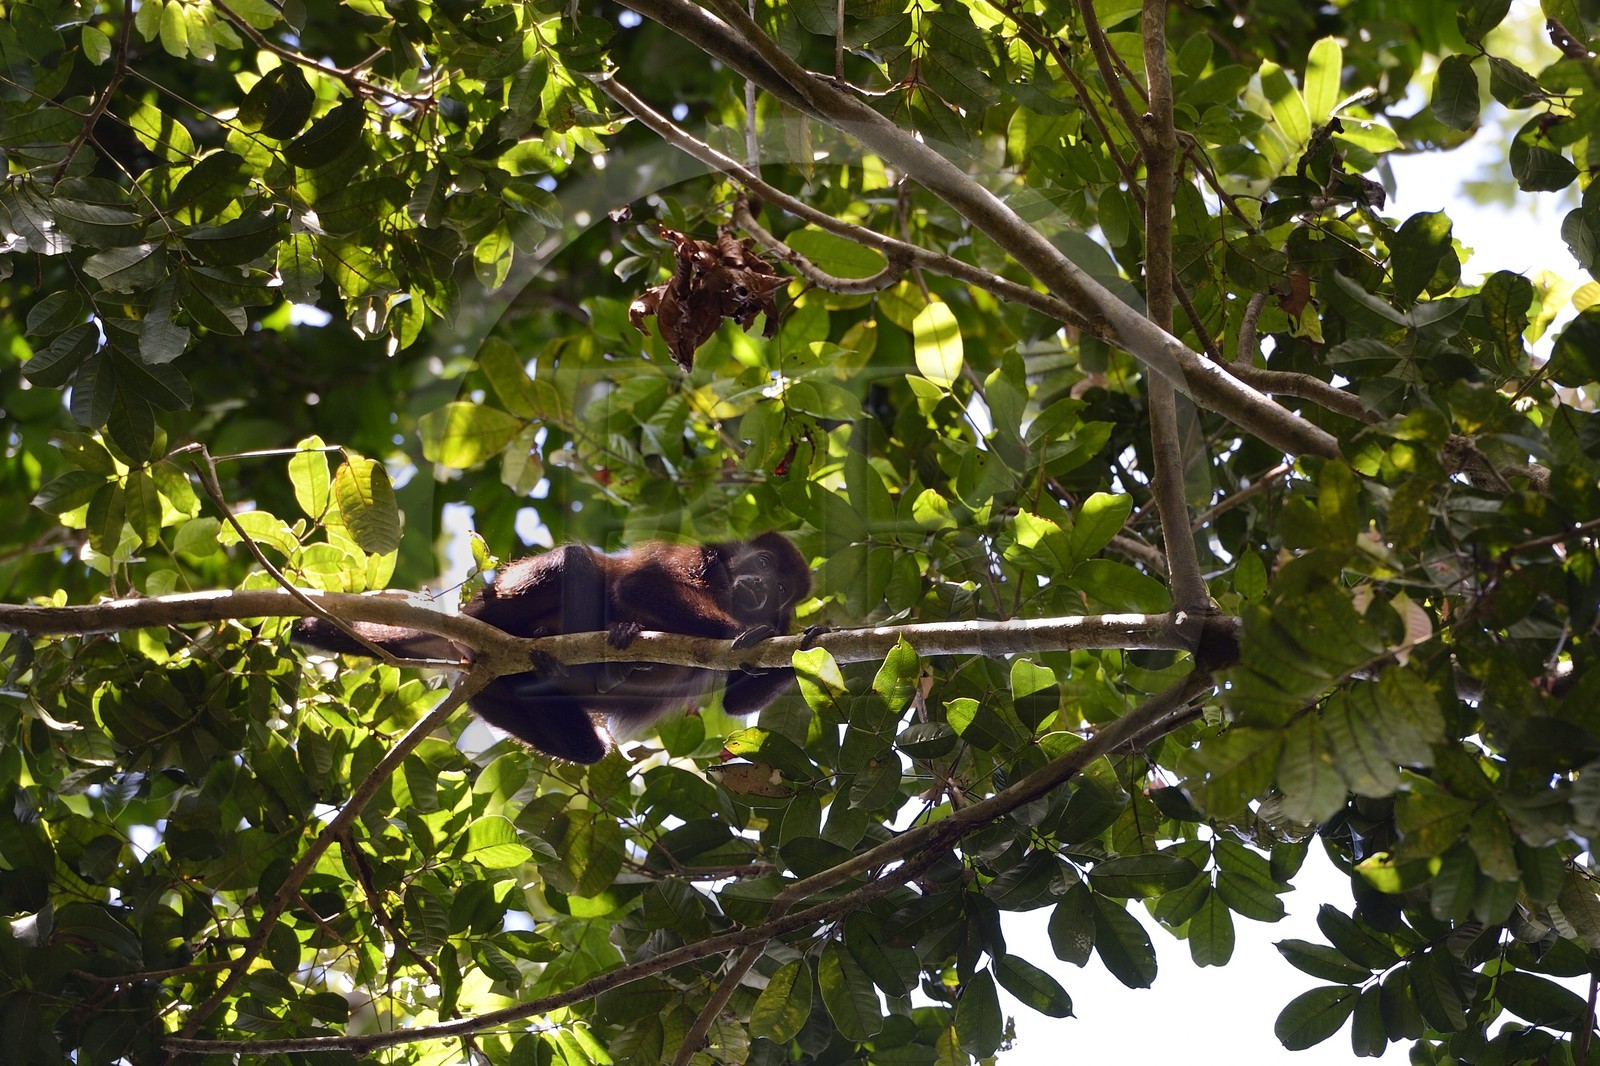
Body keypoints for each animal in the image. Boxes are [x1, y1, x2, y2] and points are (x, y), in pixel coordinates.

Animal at [294, 533, 811, 764]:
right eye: (764, 562)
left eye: (783, 588)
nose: (763, 588)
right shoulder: (700, 557)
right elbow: (641, 583)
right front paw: (745, 634)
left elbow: (735, 700)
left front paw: (808, 644)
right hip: (495, 602)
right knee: (575, 559)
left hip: (492, 694)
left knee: (588, 749)